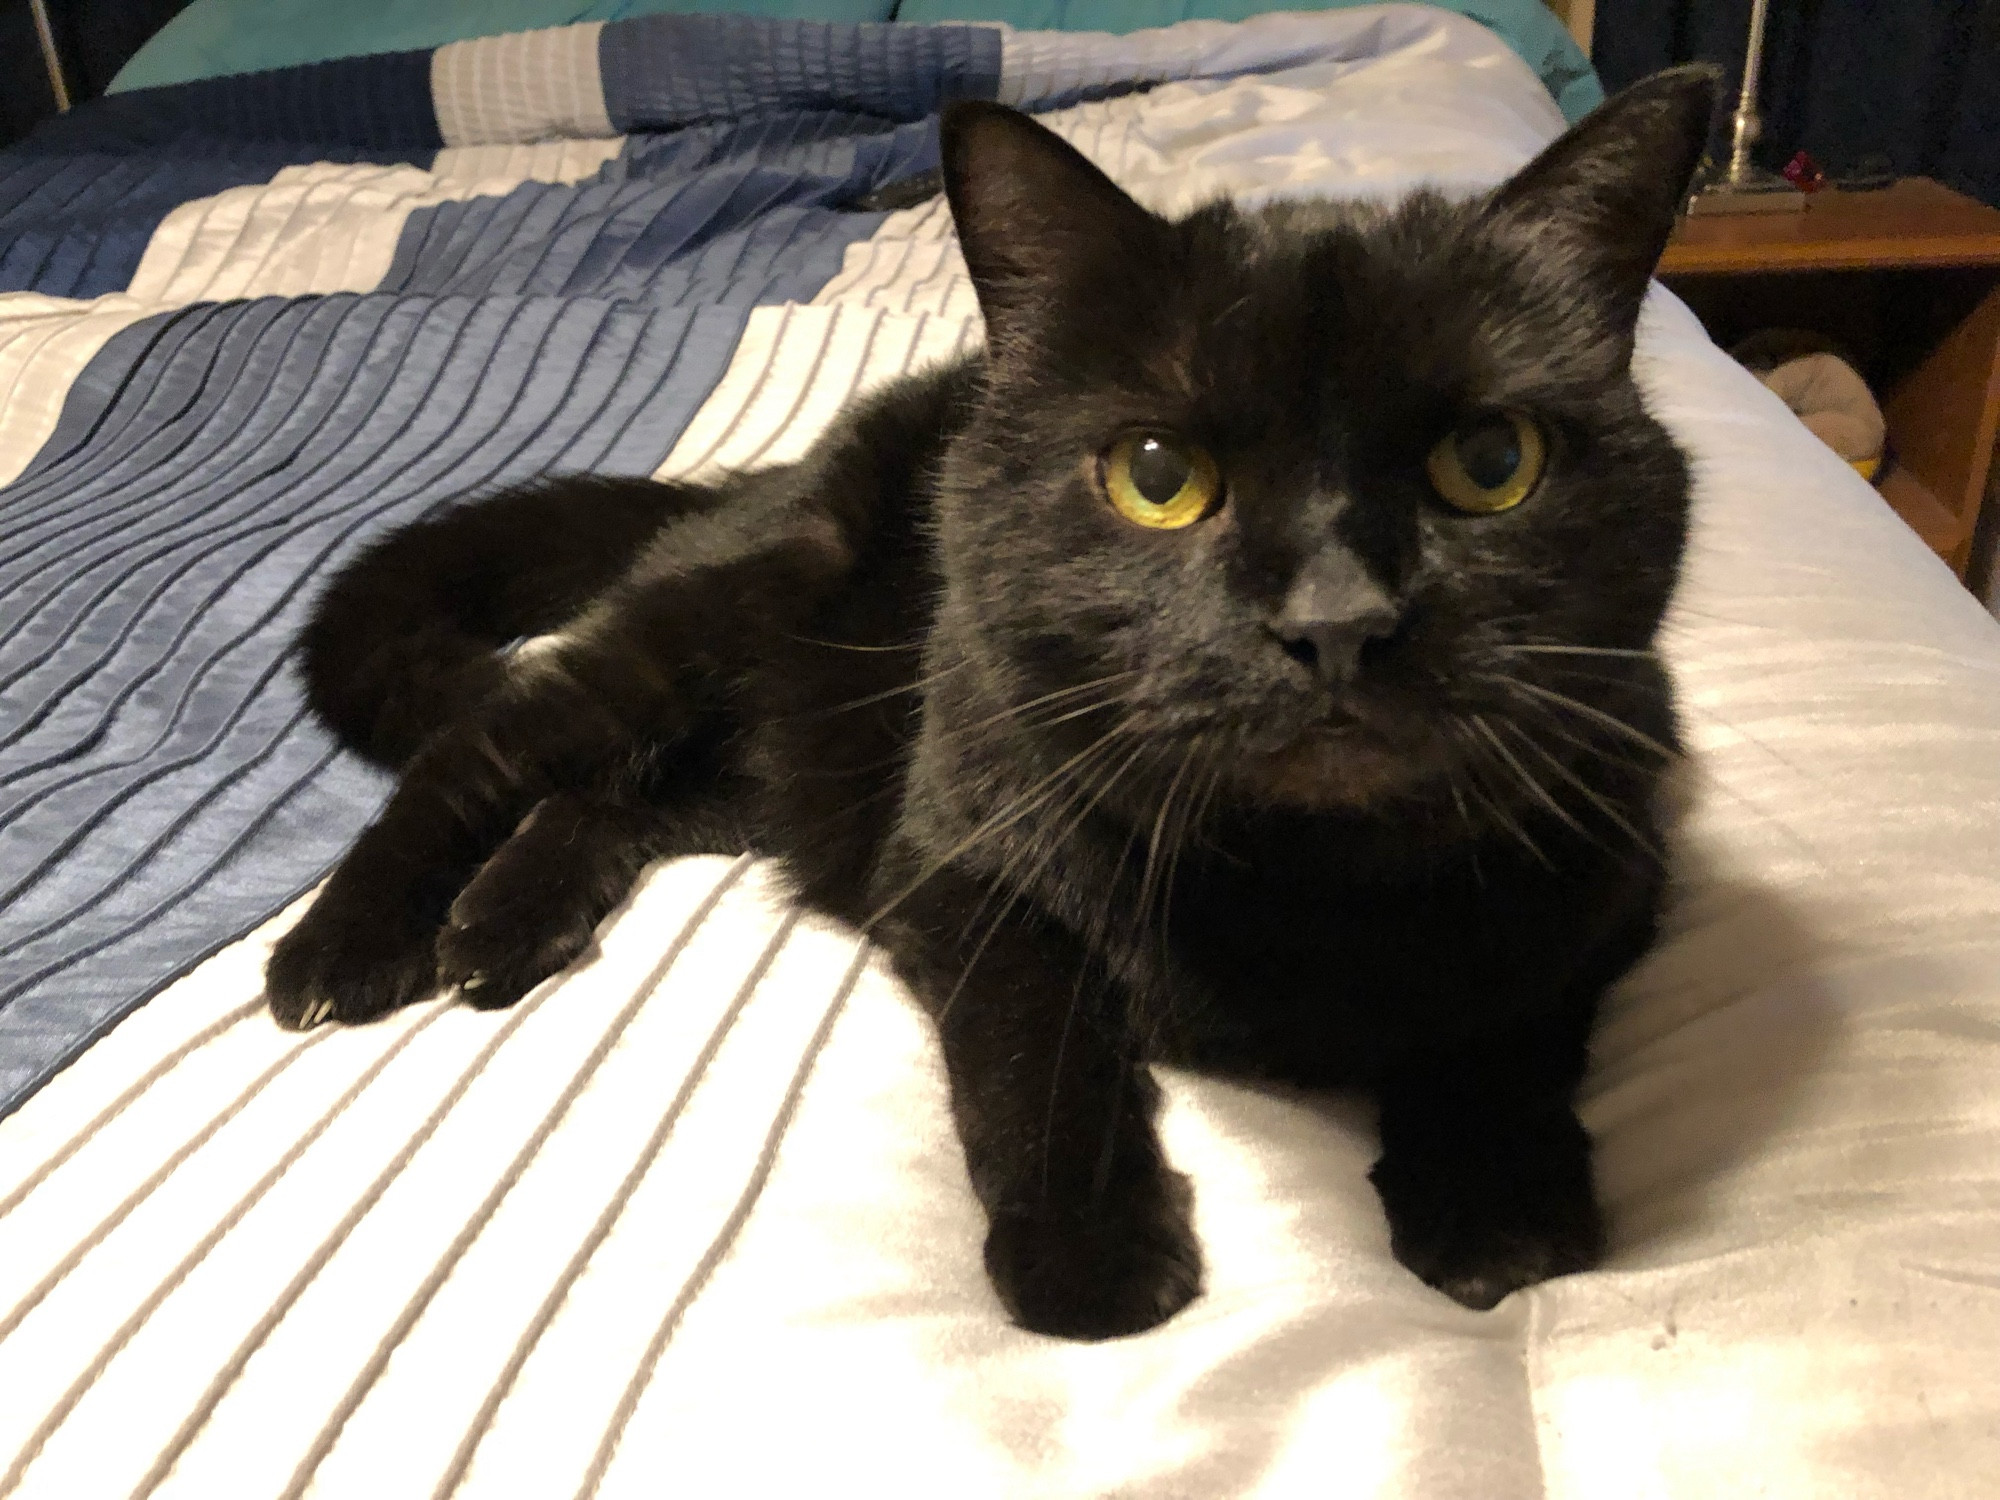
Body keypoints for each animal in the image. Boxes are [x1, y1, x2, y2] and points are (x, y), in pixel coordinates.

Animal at [266, 70, 1720, 1336]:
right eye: (1156, 475)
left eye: (1491, 462)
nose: (1336, 621)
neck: (1305, 877)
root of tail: (779, 469)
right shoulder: (957, 856)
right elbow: (1035, 1036)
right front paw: (1088, 1257)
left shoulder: (1609, 854)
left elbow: (1508, 1010)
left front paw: (1494, 1206)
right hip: (710, 640)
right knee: (489, 750)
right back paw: (344, 952)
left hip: (791, 769)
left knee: (613, 801)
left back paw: (501, 925)